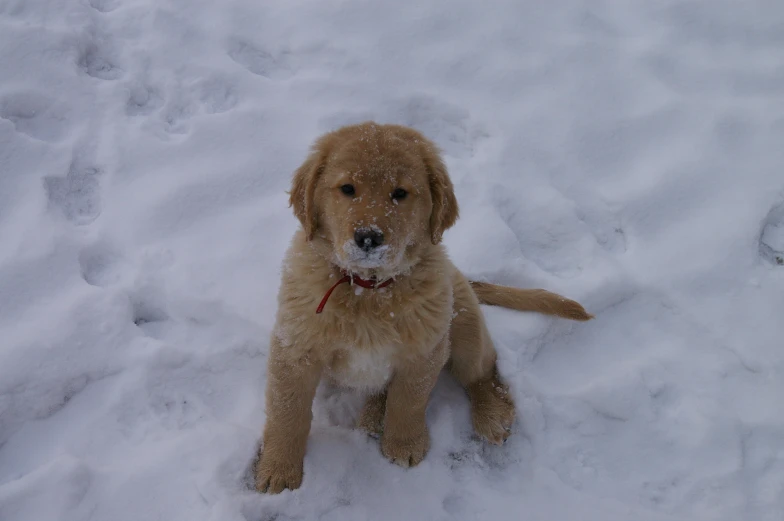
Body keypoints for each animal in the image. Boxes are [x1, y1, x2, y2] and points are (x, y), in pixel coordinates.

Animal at [254, 122, 592, 492]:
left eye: (400, 193)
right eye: (347, 189)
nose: (369, 238)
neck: (368, 290)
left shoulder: (425, 350)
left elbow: (409, 401)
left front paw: (403, 445)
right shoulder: (295, 347)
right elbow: (287, 411)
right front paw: (279, 469)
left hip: (465, 327)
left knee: (483, 372)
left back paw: (491, 415)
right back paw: (373, 415)